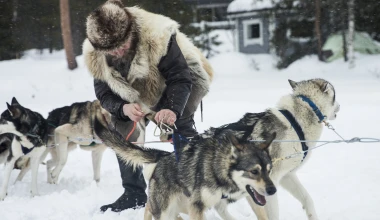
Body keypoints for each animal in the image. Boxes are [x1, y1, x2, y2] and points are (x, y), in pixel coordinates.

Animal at [94, 117, 278, 220]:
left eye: (269, 170)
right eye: (254, 171)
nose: (273, 190)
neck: (219, 169)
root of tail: (163, 156)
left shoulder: (230, 202)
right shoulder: (198, 206)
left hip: (182, 204)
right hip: (167, 208)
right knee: (152, 208)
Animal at [206, 79, 340, 220]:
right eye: (335, 96)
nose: (340, 106)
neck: (296, 122)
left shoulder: (287, 176)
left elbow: (307, 199)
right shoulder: (269, 182)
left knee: (219, 207)